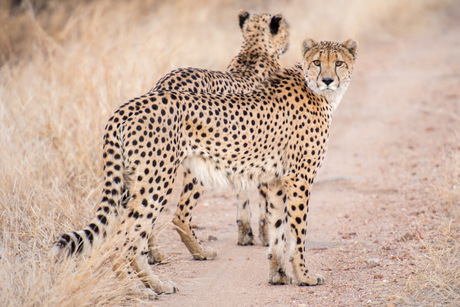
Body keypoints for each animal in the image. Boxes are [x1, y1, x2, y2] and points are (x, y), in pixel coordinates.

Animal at [53, 37, 356, 294]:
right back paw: (138, 288)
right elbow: (298, 232)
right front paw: (305, 276)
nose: (328, 80)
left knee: (132, 235)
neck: (315, 91)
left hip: (134, 180)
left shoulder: (276, 181)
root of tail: (128, 106)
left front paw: (279, 275)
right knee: (125, 237)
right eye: (317, 62)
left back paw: (154, 284)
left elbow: (279, 230)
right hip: (157, 180)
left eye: (339, 62)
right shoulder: (299, 179)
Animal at [147, 11, 290, 264]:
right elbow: (264, 202)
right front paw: (265, 237)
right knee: (180, 214)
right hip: (194, 165)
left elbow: (242, 196)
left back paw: (156, 254)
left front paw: (245, 235)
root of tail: (165, 82)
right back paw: (200, 251)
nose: (289, 42)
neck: (254, 50)